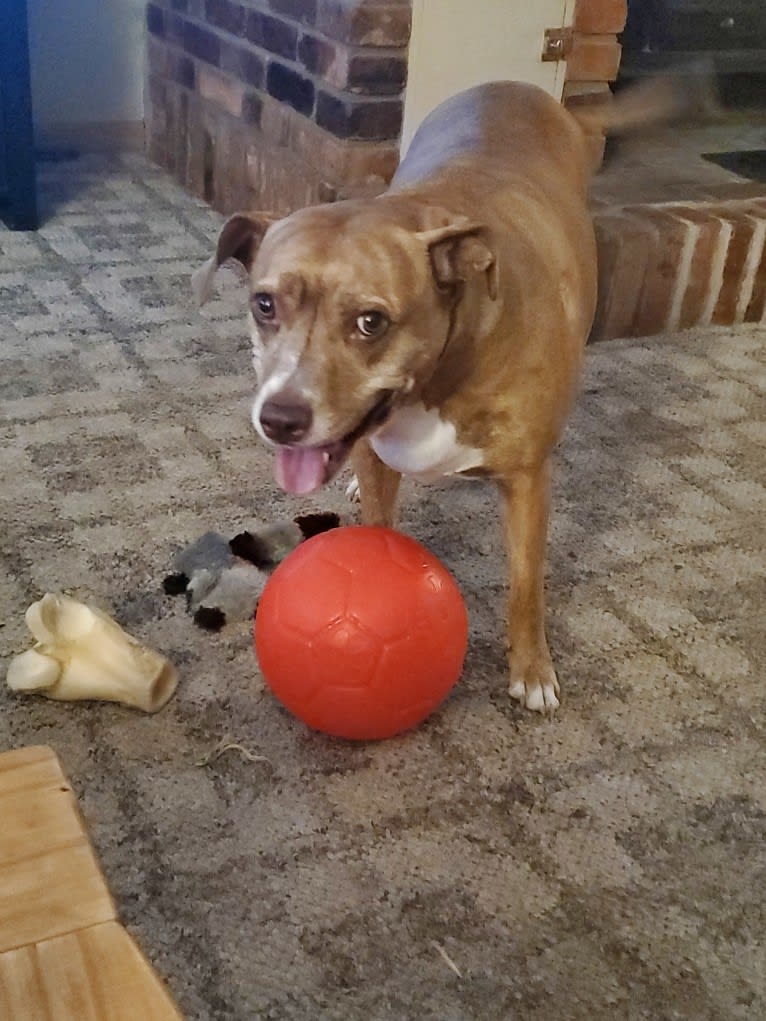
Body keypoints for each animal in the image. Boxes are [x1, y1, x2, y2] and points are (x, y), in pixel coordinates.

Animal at [192, 81, 682, 710]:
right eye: (264, 304)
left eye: (371, 322)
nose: (279, 418)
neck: (441, 370)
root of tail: (516, 86)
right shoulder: (376, 460)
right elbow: (378, 529)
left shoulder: (527, 482)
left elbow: (526, 583)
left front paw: (532, 668)